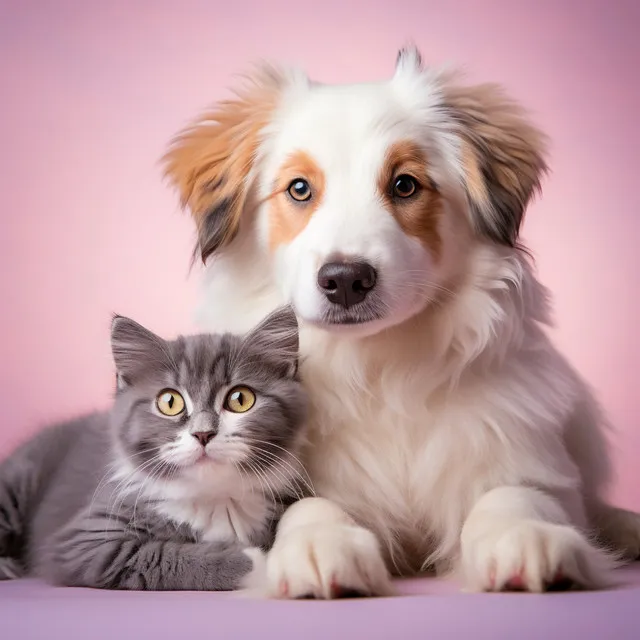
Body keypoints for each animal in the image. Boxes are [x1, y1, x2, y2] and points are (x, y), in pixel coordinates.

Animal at [0, 304, 310, 592]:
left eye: (240, 399)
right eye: (170, 402)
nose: (203, 433)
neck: (214, 498)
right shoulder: (83, 542)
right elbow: (156, 554)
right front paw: (253, 562)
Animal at [161, 47, 640, 596]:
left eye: (405, 185)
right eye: (299, 189)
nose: (346, 279)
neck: (377, 368)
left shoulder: (525, 455)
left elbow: (514, 494)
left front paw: (524, 536)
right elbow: (307, 506)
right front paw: (318, 546)